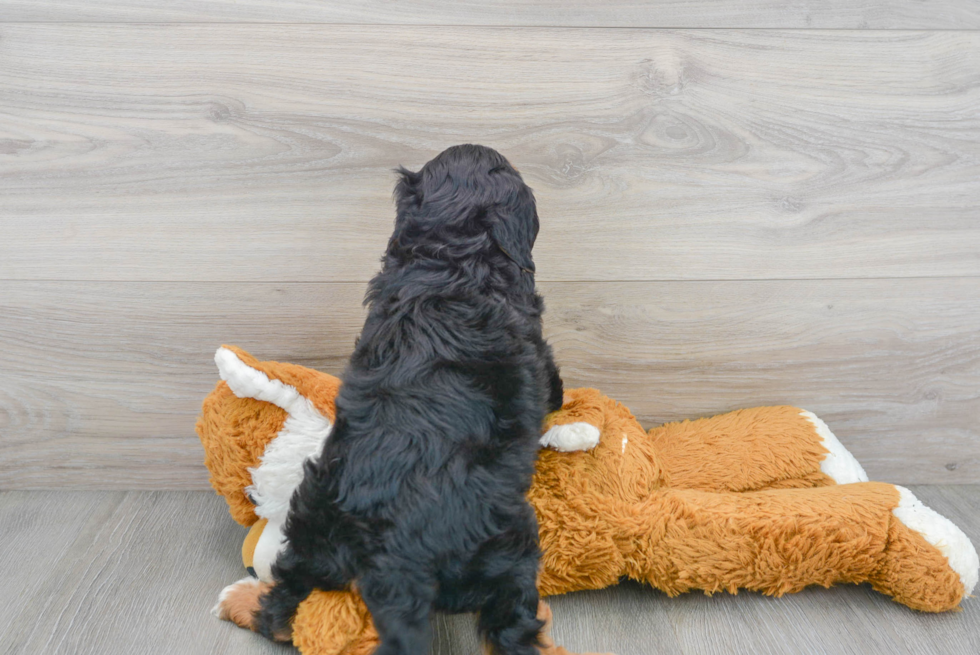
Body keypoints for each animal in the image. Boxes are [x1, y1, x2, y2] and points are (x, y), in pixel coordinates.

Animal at [256, 146, 568, 652]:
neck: (450, 260)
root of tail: (396, 553)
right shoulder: (539, 350)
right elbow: (554, 381)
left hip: (315, 509)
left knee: (289, 583)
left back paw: (274, 616)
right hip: (508, 544)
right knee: (510, 621)